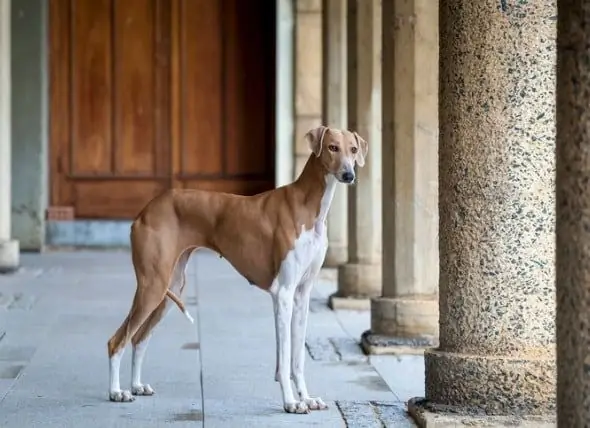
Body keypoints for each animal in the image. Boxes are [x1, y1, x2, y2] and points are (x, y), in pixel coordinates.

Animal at [104, 125, 368, 412]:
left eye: (353, 149)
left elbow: (297, 357)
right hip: (152, 286)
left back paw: (136, 386)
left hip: (169, 288)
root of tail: (146, 210)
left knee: (139, 337)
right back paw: (116, 392)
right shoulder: (283, 293)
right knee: (118, 340)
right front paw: (291, 402)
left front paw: (306, 398)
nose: (349, 175)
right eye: (332, 147)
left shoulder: (302, 295)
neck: (309, 205)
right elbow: (285, 356)